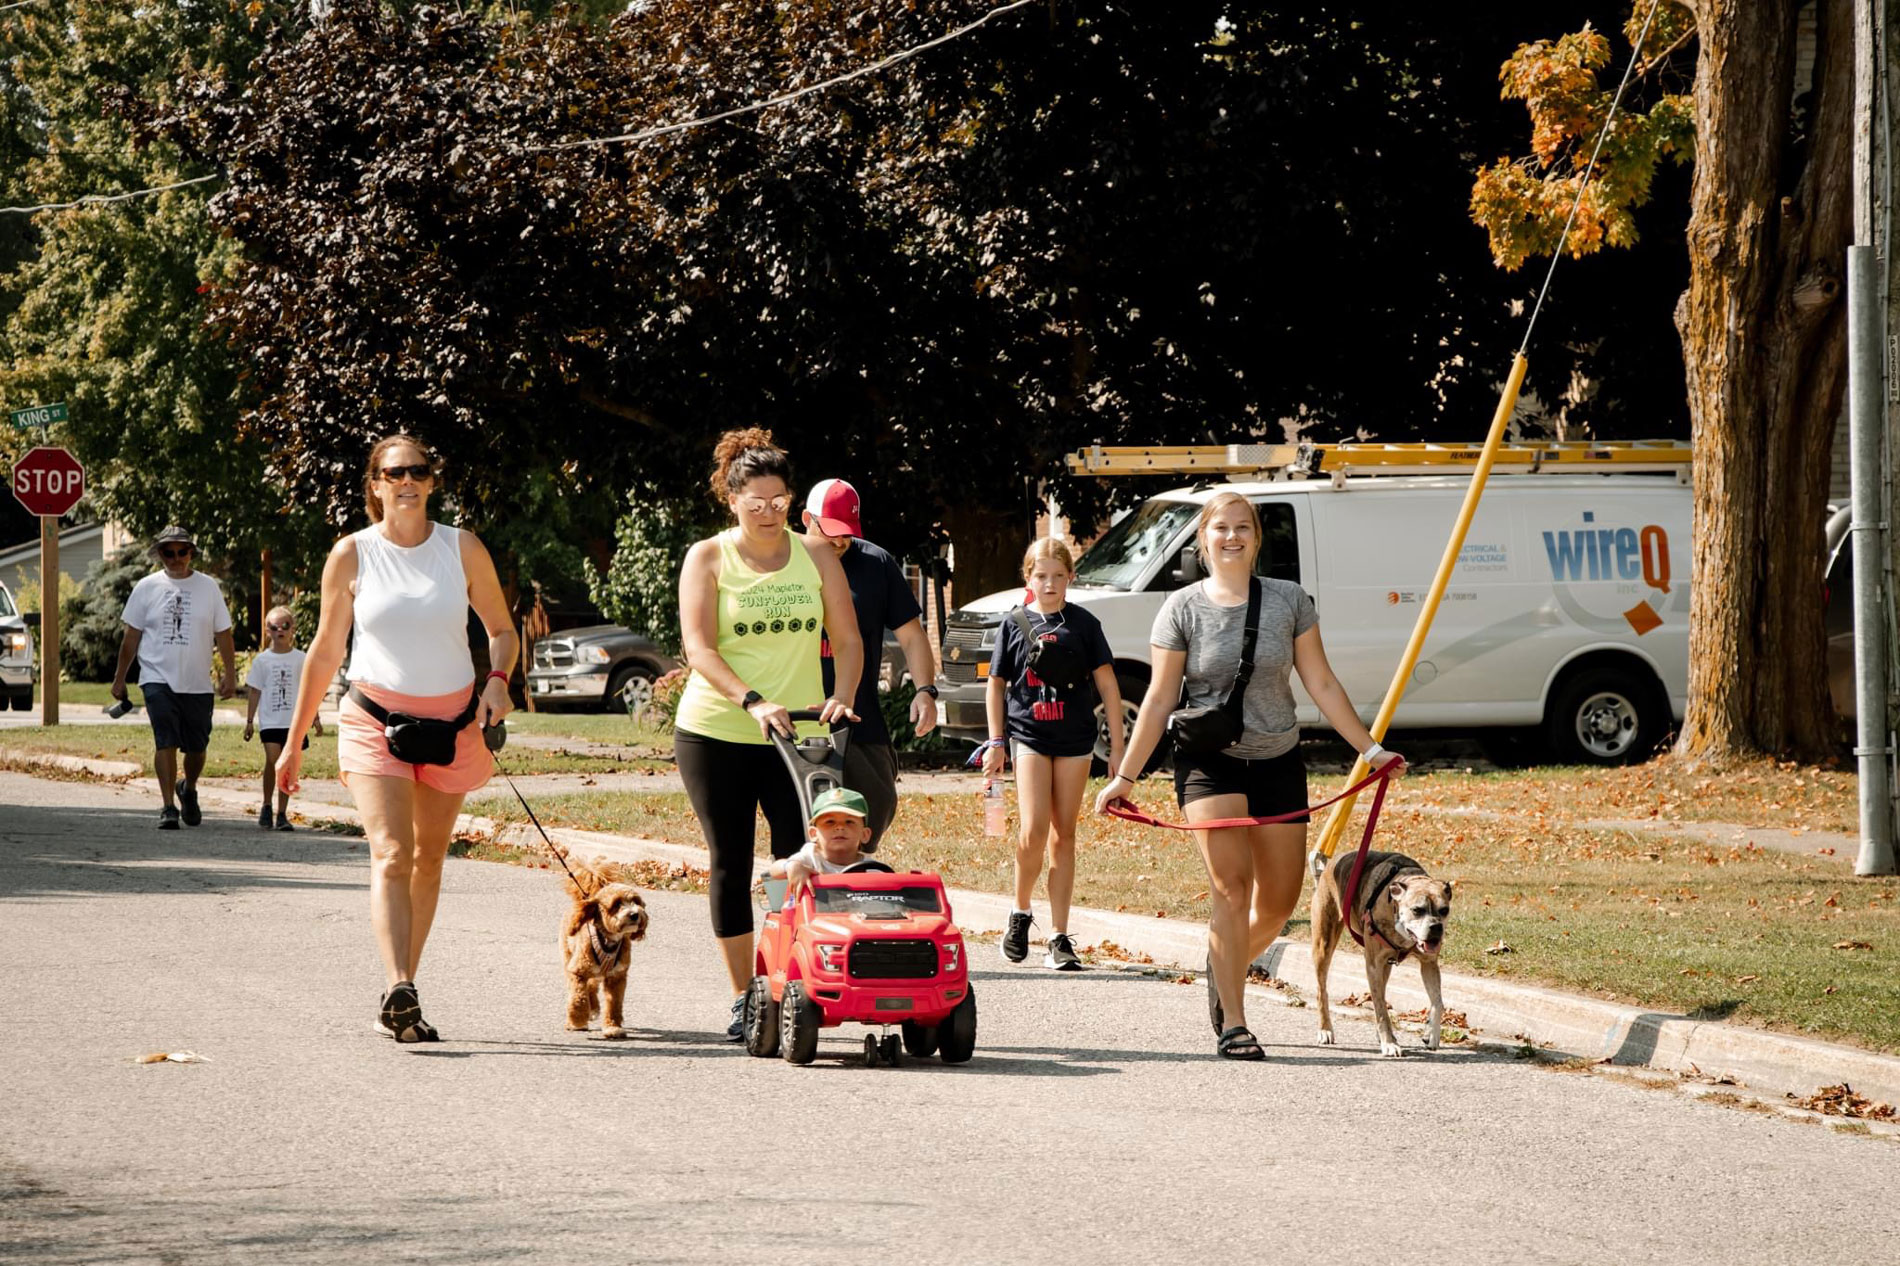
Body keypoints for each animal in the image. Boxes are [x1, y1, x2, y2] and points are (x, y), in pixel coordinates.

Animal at [560, 871, 649, 1039]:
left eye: (635, 901)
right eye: (616, 904)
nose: (635, 914)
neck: (608, 940)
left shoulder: (617, 977)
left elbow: (614, 1004)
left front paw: (612, 1028)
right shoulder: (577, 971)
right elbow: (578, 998)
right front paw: (576, 1022)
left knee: (592, 986)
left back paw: (593, 1007)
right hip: (570, 957)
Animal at [1311, 848, 1453, 1057]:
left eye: (1444, 910)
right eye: (1417, 910)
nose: (1436, 927)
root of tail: (1330, 865)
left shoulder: (1429, 964)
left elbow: (1438, 1001)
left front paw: (1432, 1033)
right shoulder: (1373, 965)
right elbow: (1380, 1009)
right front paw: (1389, 1042)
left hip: (1385, 966)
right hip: (1324, 944)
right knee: (1322, 991)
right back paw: (1325, 1029)